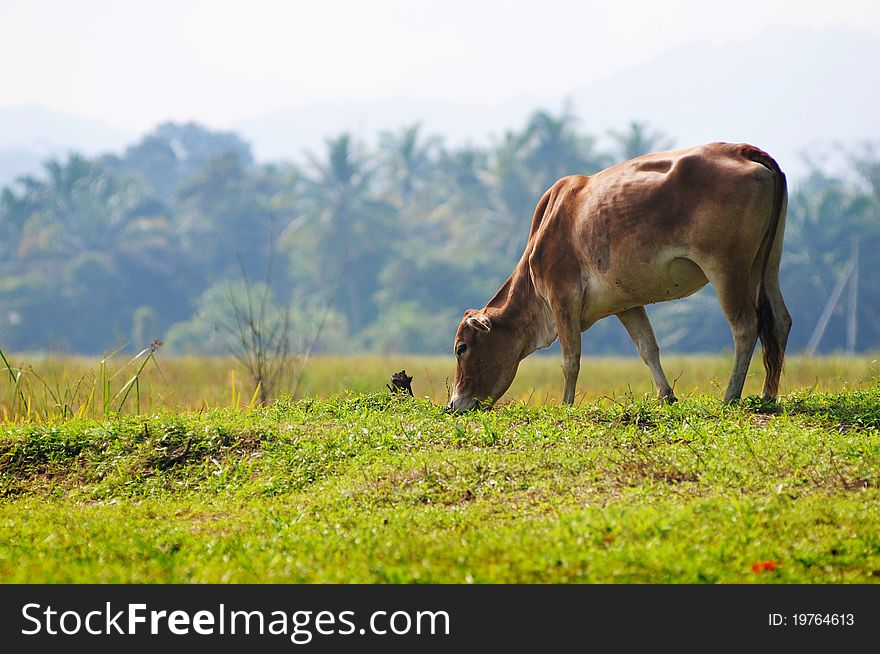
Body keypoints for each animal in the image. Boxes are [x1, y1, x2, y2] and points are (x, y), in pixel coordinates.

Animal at [446, 142, 792, 412]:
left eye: (461, 347)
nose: (453, 405)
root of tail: (744, 150)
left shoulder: (561, 296)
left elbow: (571, 359)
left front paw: (566, 405)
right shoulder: (626, 304)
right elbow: (648, 348)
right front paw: (666, 396)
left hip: (727, 268)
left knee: (746, 326)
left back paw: (731, 396)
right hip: (767, 263)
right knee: (780, 321)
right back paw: (768, 396)